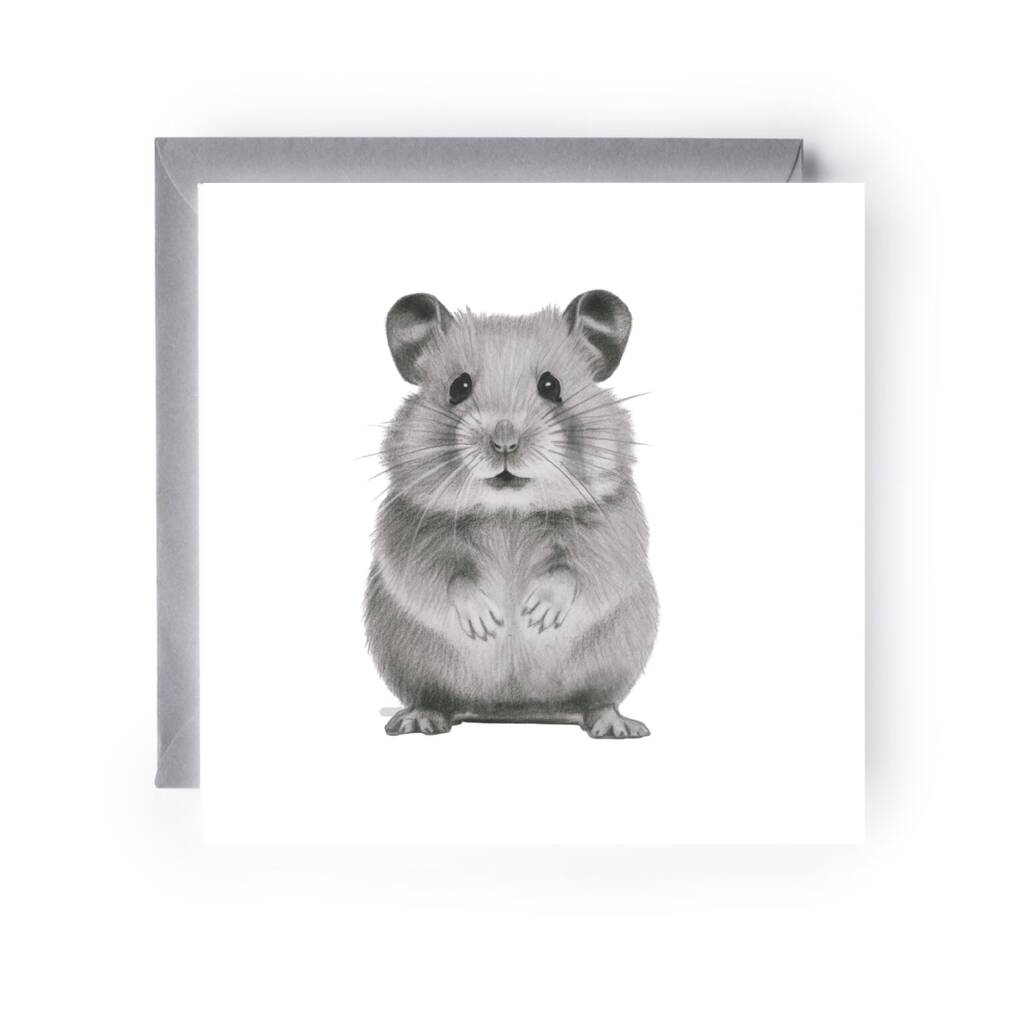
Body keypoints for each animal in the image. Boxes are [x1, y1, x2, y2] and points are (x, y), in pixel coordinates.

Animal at [364, 290, 658, 738]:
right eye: (458, 386)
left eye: (551, 386)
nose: (504, 442)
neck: (510, 512)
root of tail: (513, 709)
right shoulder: (409, 535)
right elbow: (445, 576)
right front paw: (490, 624)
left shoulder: (613, 532)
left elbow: (576, 569)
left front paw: (535, 617)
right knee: (433, 696)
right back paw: (419, 719)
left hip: (615, 659)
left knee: (598, 699)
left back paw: (616, 726)